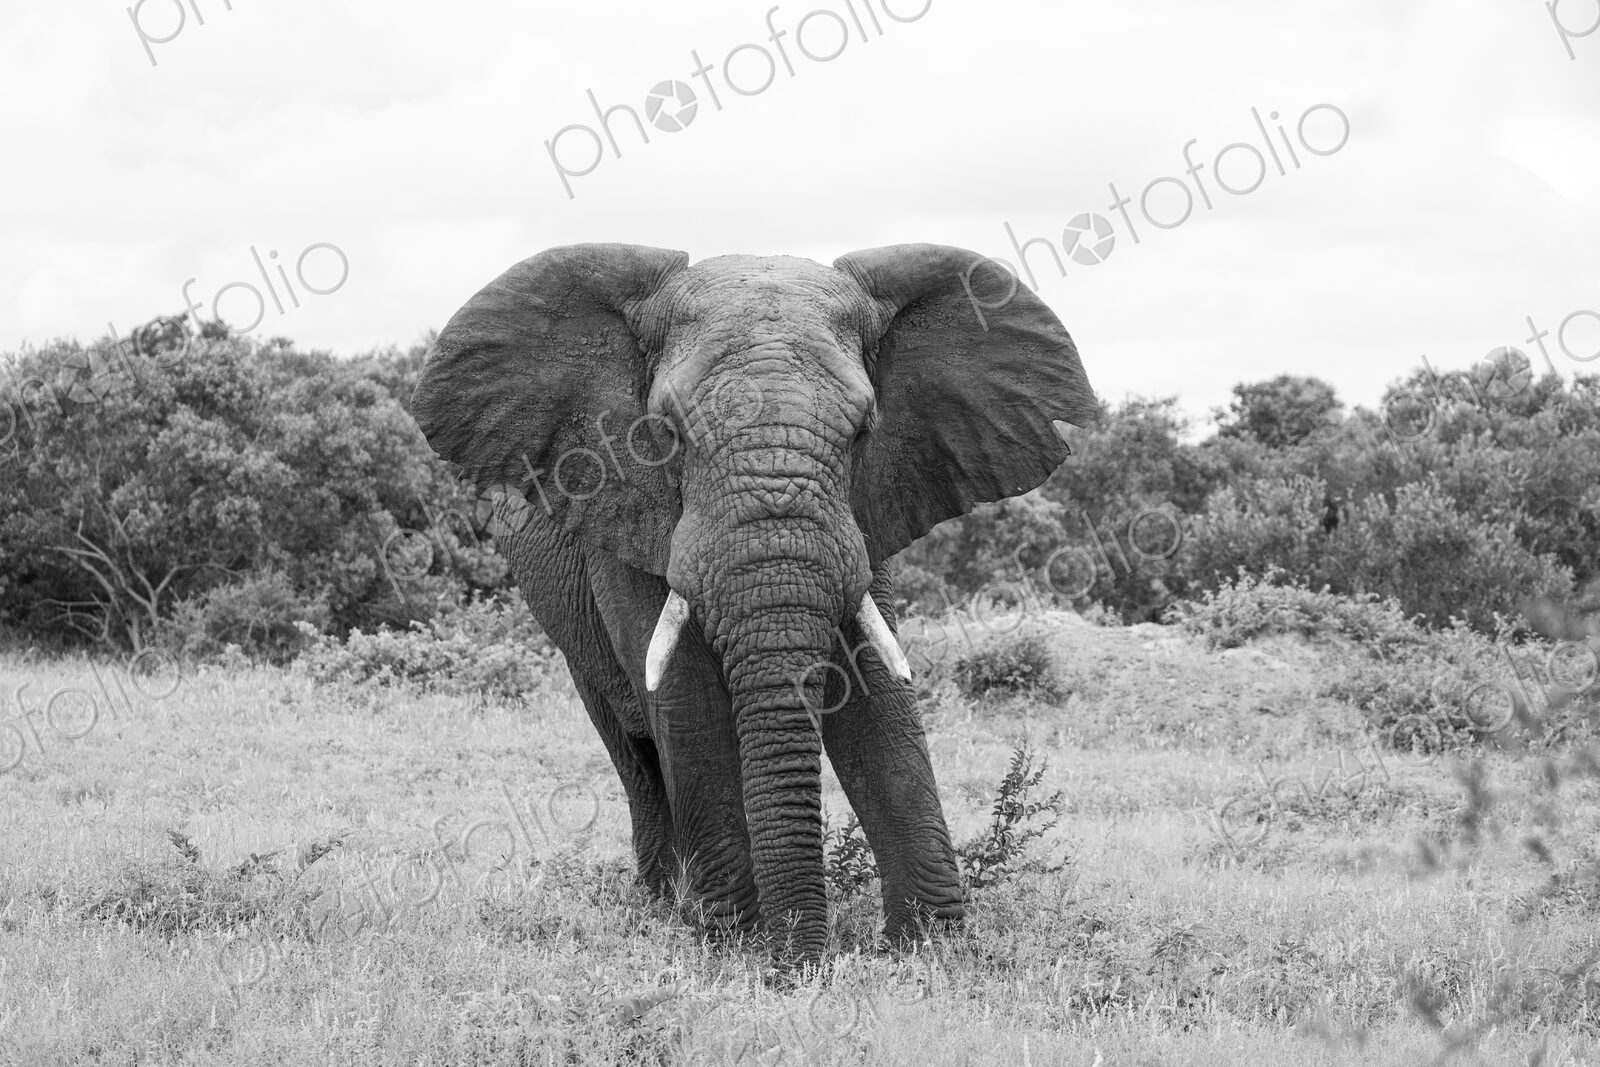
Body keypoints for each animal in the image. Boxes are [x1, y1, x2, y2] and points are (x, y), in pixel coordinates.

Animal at [409, 242, 1096, 963]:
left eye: (863, 431)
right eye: (666, 433)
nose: (802, 964)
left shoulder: (867, 510)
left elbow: (874, 693)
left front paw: (934, 947)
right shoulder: (626, 517)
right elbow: (688, 699)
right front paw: (732, 946)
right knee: (635, 749)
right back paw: (664, 904)